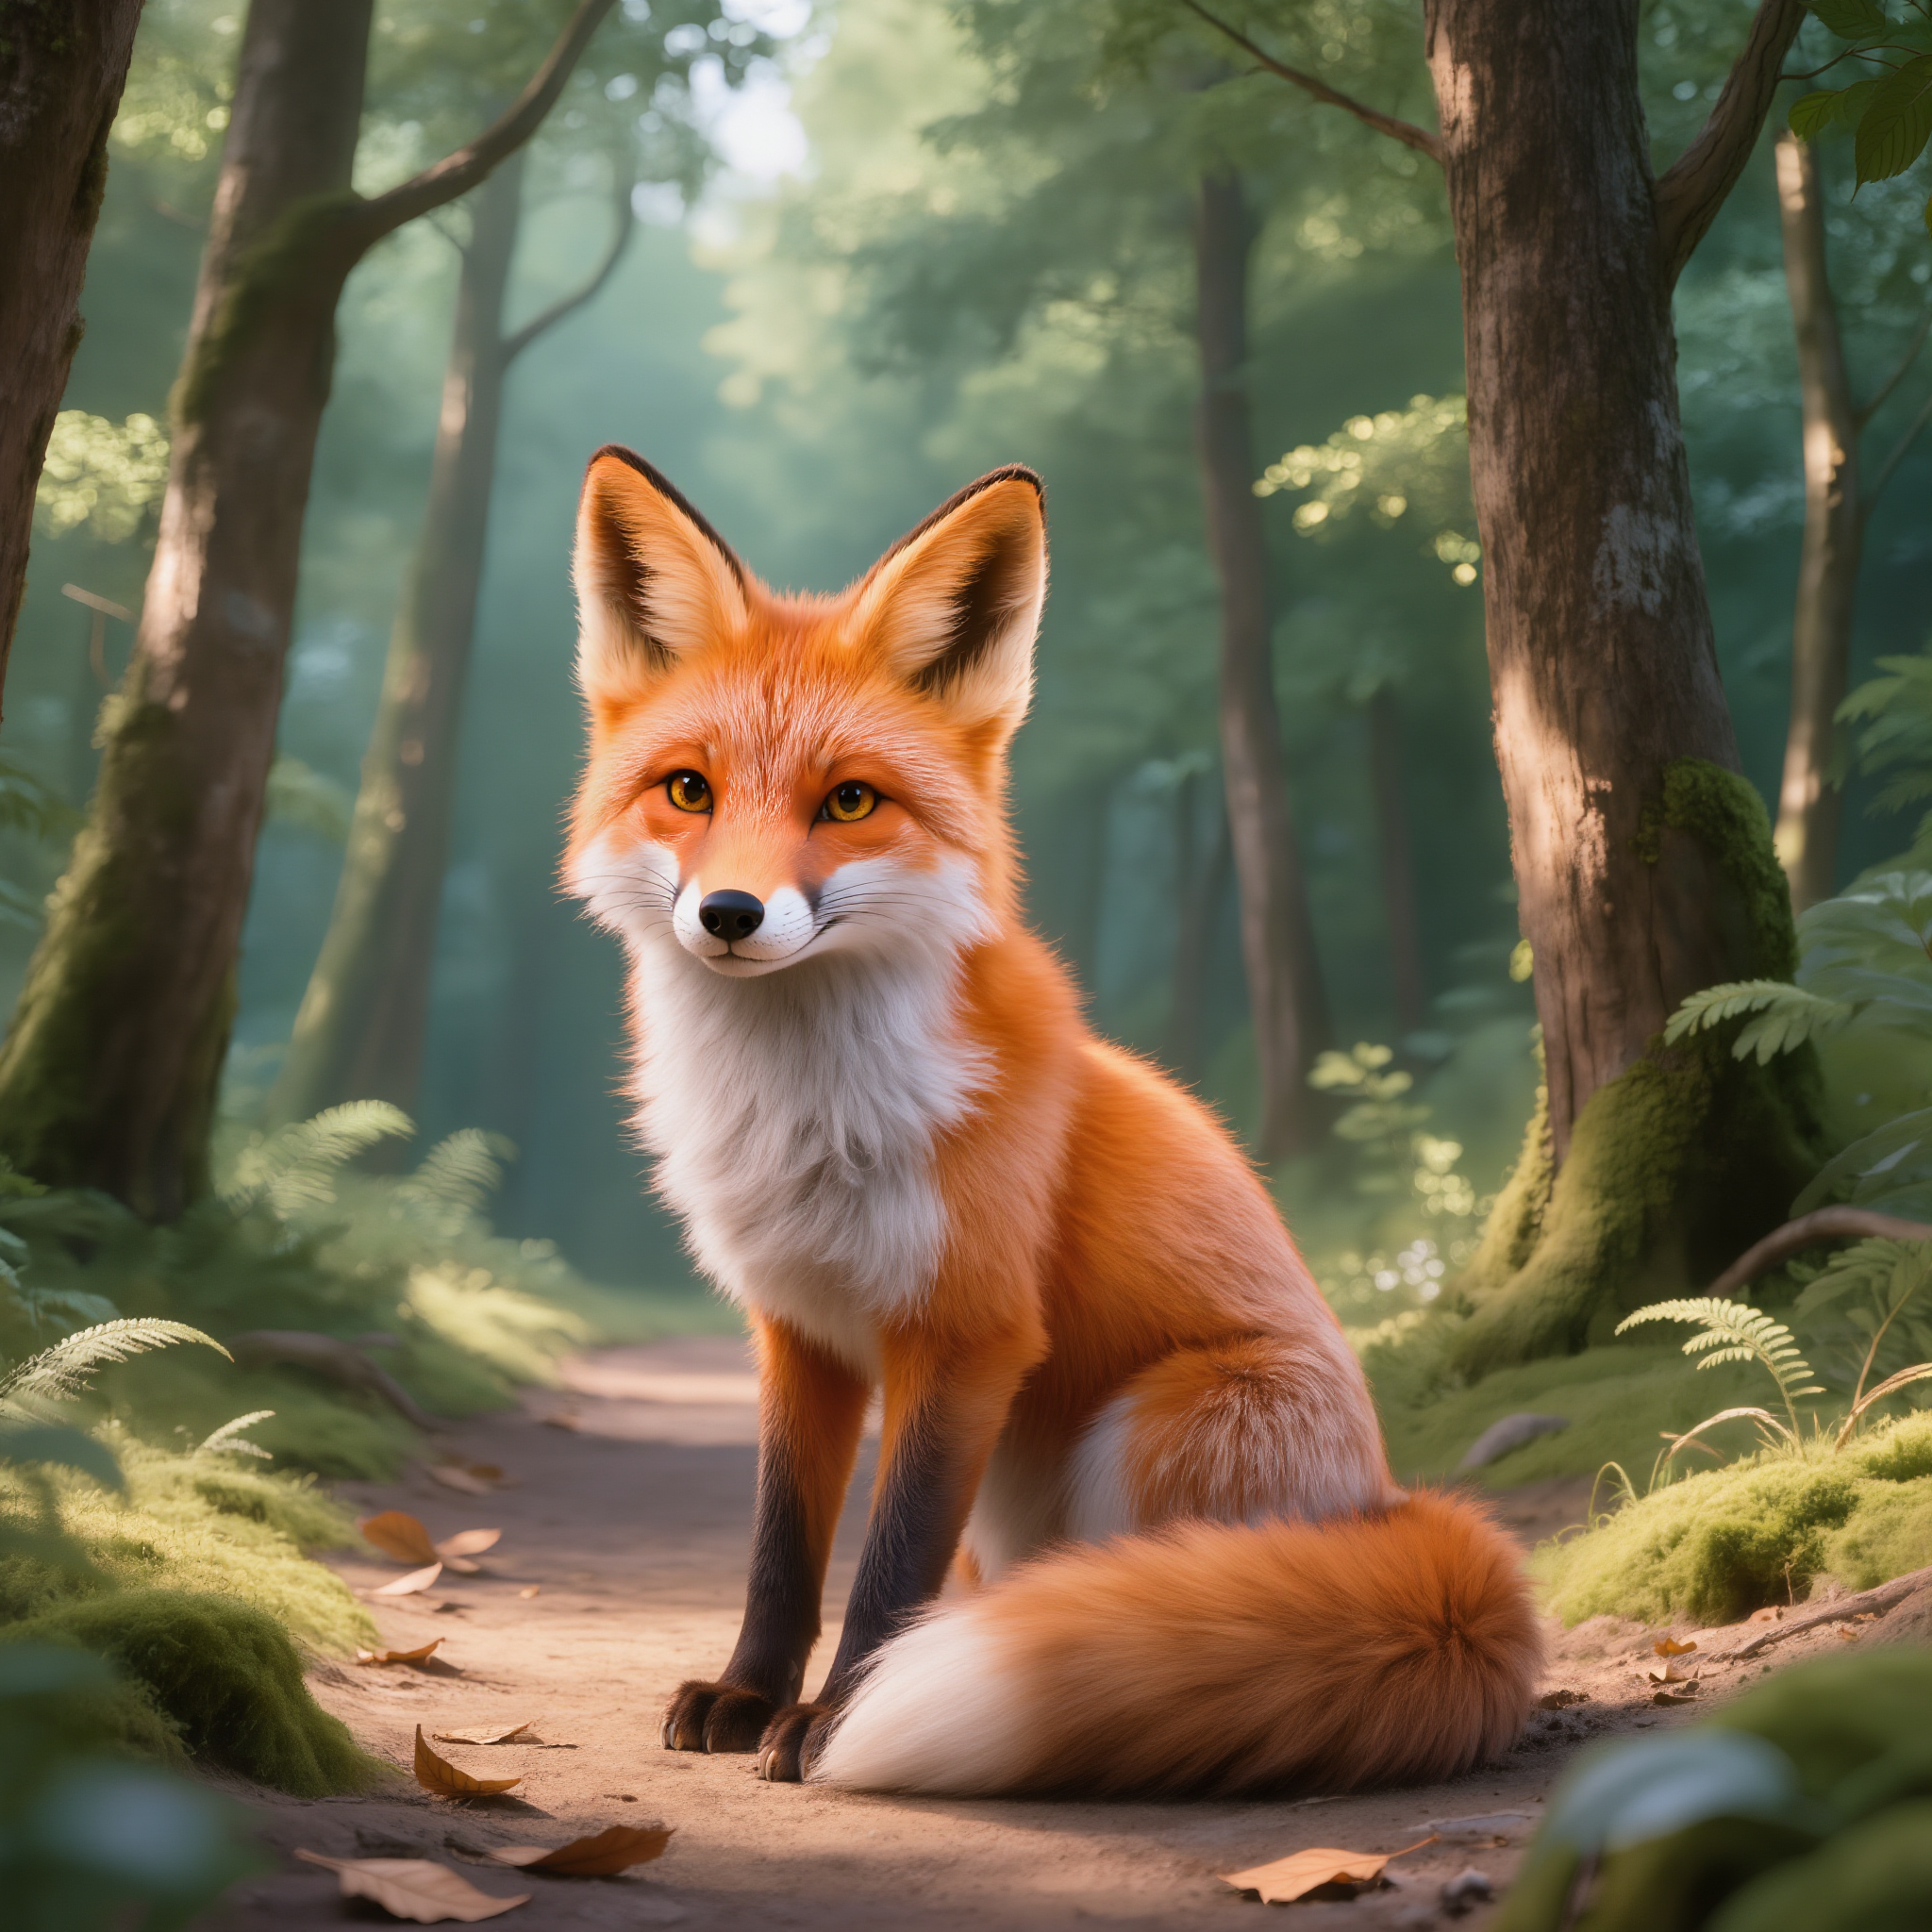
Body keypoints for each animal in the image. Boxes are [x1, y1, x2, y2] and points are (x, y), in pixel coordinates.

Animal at [564, 446, 1543, 1797]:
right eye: (687, 790)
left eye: (849, 801)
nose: (727, 913)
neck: (805, 1113)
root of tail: (1392, 1499)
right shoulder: (796, 1329)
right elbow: (780, 1547)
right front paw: (748, 1694)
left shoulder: (966, 1329)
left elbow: (887, 1568)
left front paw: (835, 1717)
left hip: (1148, 1429)